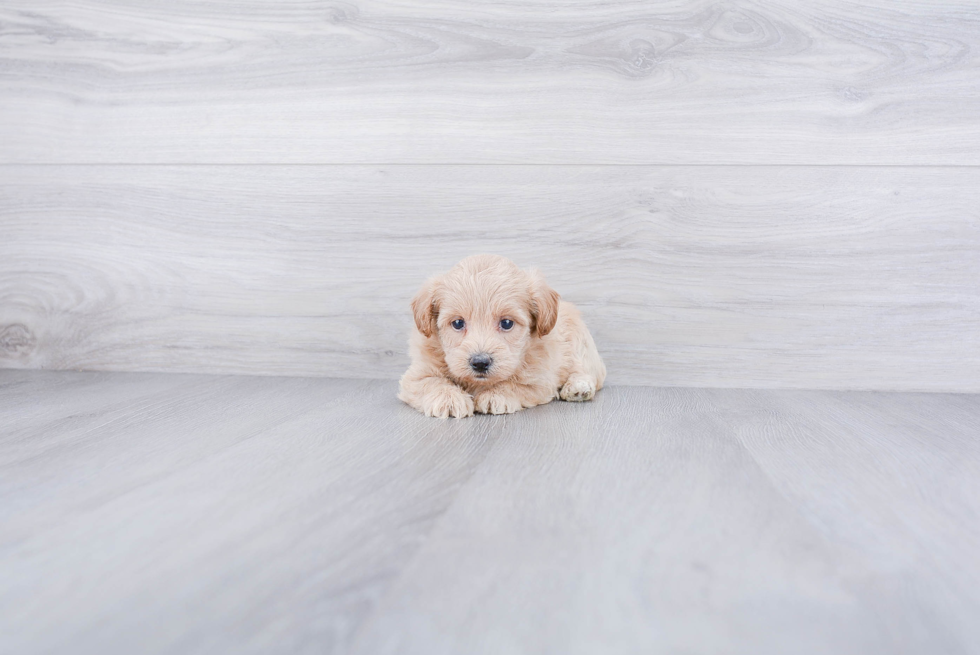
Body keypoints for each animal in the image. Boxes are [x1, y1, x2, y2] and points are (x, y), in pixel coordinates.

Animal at [398, 254, 604, 418]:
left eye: (506, 323)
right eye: (457, 323)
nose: (480, 362)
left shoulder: (539, 379)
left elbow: (516, 384)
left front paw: (495, 395)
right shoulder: (417, 374)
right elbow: (431, 382)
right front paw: (449, 399)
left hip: (579, 342)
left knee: (589, 371)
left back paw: (578, 387)